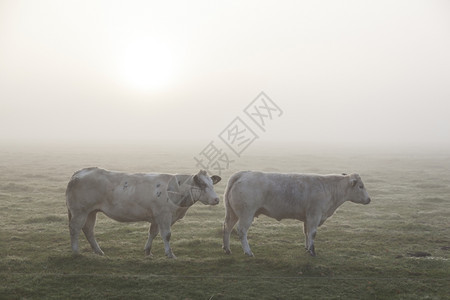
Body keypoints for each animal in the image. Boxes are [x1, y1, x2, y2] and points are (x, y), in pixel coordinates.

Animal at [66, 166, 221, 258]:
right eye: (202, 185)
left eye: (212, 184)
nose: (216, 199)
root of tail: (79, 173)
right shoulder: (164, 216)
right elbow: (167, 235)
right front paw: (170, 254)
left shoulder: (157, 217)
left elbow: (153, 233)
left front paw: (148, 251)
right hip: (80, 211)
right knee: (75, 228)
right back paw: (75, 251)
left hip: (91, 212)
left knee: (88, 230)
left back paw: (98, 251)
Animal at [222, 171, 372, 255]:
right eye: (361, 186)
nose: (369, 199)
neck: (329, 188)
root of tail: (243, 174)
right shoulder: (314, 215)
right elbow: (313, 233)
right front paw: (312, 251)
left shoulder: (308, 218)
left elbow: (307, 233)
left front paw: (307, 248)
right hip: (246, 214)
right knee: (241, 230)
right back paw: (248, 252)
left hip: (232, 213)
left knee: (227, 227)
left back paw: (227, 249)